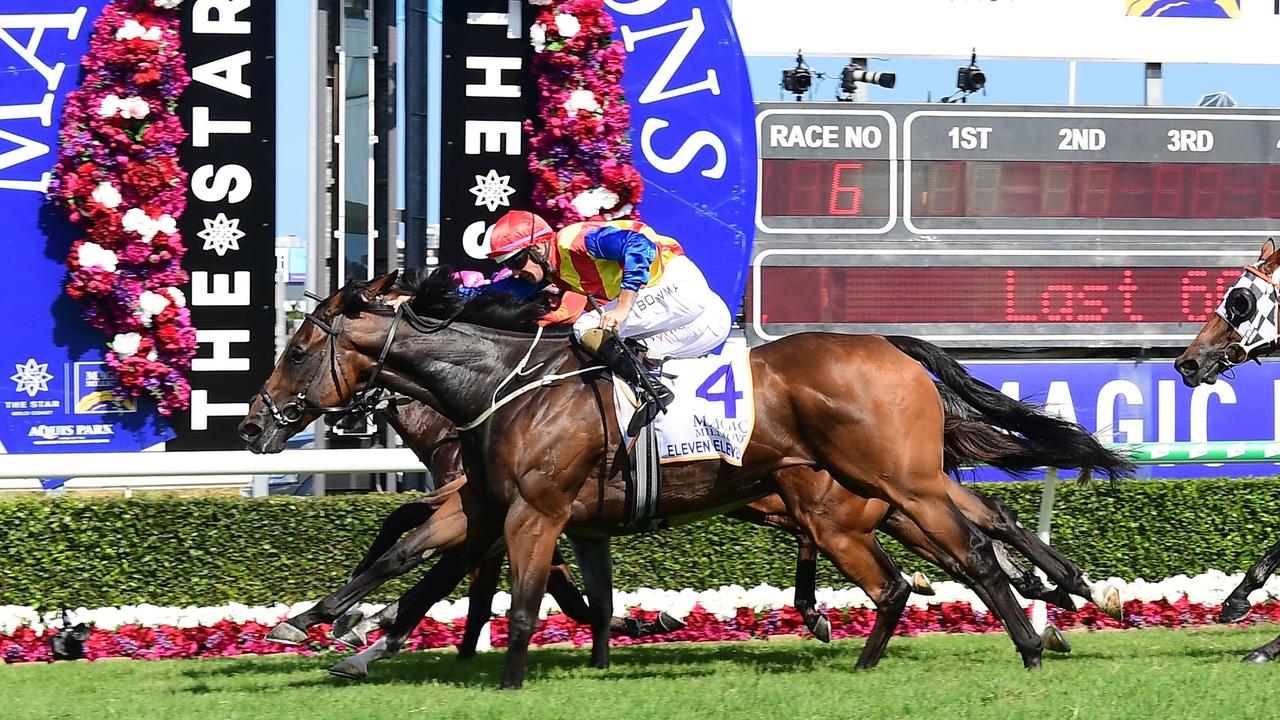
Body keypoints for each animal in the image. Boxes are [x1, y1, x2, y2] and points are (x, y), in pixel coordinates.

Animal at [240, 267, 1131, 681]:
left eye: (299, 347)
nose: (253, 424)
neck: (499, 383)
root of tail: (890, 344)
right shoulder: (491, 502)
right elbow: (403, 550)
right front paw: (322, 624)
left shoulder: (525, 508)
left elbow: (438, 569)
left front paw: (344, 634)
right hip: (882, 490)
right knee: (964, 539)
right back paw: (1049, 602)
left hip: (888, 486)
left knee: (970, 545)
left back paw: (1038, 628)